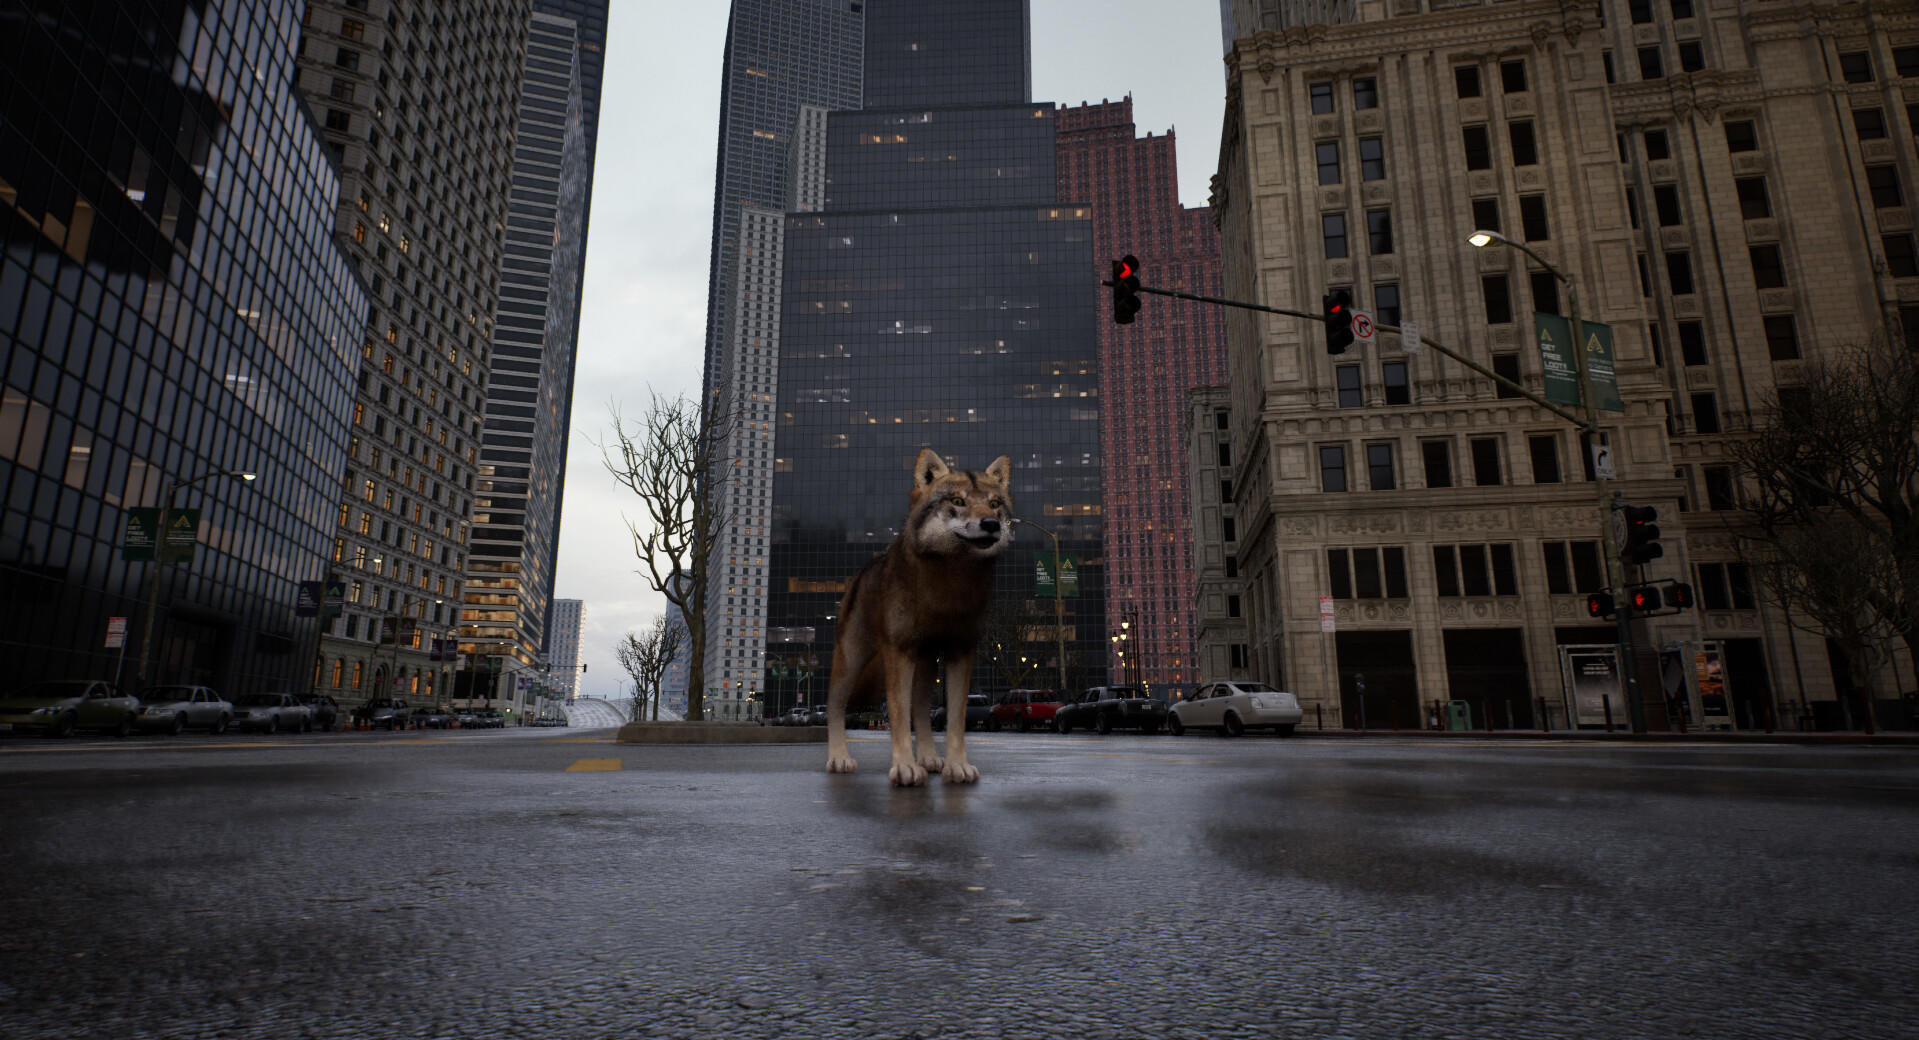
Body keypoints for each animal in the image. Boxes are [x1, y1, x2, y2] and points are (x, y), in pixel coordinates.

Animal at [824, 448, 1014, 785]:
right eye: (958, 501)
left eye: (994, 504)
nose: (991, 524)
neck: (951, 578)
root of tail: (862, 572)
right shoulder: (899, 651)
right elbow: (898, 716)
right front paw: (904, 767)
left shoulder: (961, 651)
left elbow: (954, 719)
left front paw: (956, 765)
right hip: (851, 662)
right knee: (835, 706)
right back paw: (839, 758)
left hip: (926, 663)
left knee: (921, 709)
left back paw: (928, 757)